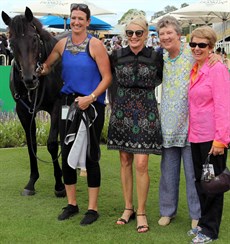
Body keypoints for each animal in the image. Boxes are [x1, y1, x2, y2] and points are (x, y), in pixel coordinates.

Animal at [1, 7, 65, 197]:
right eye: (11, 42)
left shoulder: (57, 106)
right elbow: (31, 144)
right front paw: (31, 182)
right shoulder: (24, 111)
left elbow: (52, 144)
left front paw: (59, 185)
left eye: (34, 39)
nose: (30, 79)